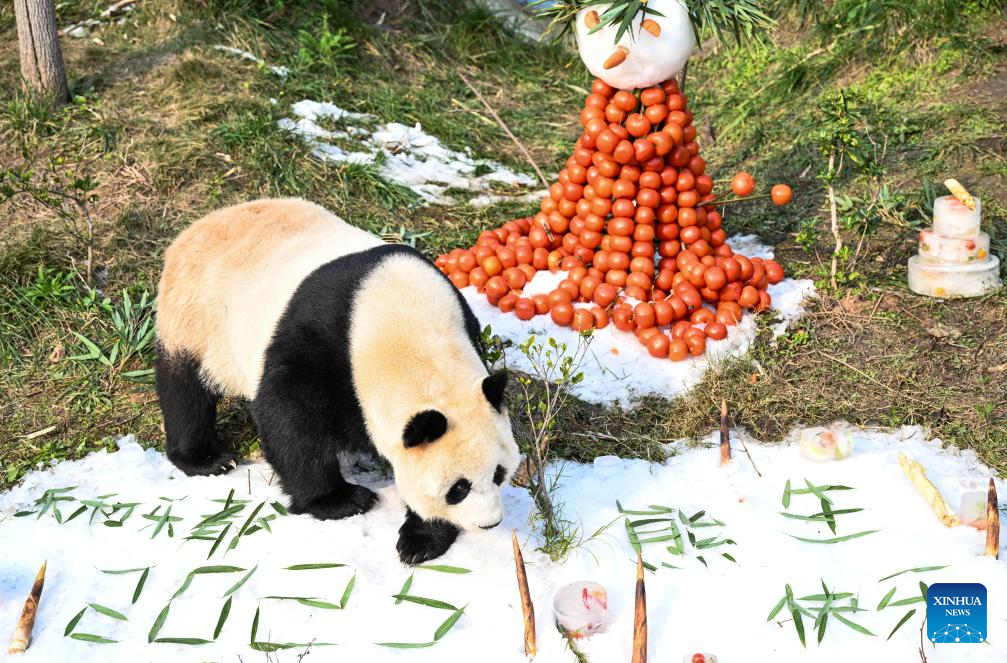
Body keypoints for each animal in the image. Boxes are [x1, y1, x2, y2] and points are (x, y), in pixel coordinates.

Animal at [157, 197, 523, 564]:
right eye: (459, 488)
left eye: (499, 473)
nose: (490, 523)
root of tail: (203, 223)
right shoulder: (319, 345)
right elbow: (288, 417)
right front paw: (342, 501)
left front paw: (422, 539)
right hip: (196, 319)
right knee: (184, 390)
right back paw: (208, 459)